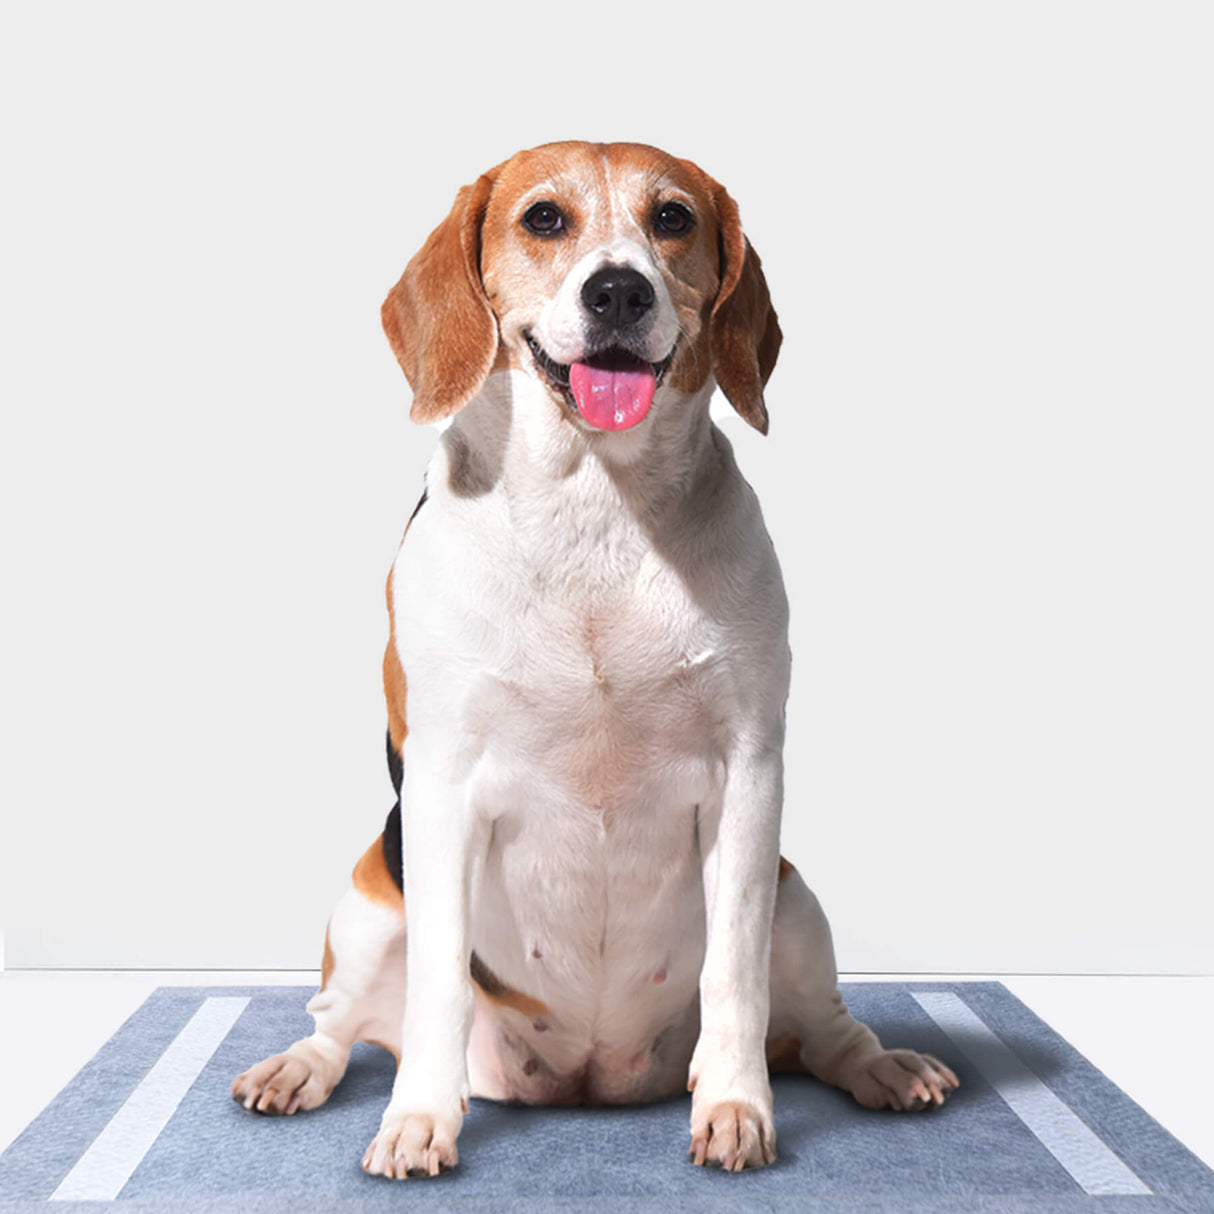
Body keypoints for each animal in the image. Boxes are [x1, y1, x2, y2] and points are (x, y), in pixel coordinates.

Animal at [229, 142, 956, 1175]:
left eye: (673, 218)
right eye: (544, 219)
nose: (618, 291)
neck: (595, 506)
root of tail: (589, 1076)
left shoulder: (750, 774)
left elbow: (734, 976)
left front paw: (735, 1110)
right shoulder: (442, 783)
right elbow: (438, 981)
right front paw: (417, 1123)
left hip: (795, 898)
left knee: (821, 1029)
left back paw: (883, 1067)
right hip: (370, 902)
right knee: (340, 1021)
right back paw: (298, 1071)